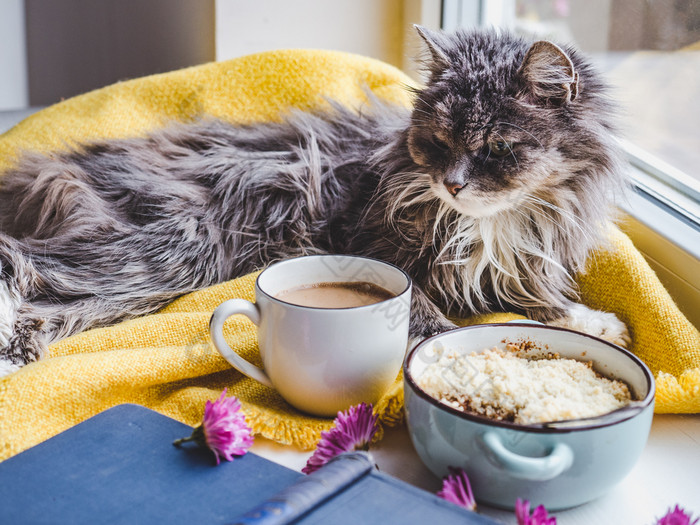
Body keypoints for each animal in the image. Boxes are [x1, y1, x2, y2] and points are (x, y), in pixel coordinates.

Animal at [0, 27, 628, 376]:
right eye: (438, 142)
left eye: (496, 147)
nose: (452, 184)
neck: (495, 225)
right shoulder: (378, 251)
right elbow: (430, 315)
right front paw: (452, 353)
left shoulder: (515, 265)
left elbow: (544, 302)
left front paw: (597, 324)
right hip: (176, 246)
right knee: (25, 270)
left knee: (49, 306)